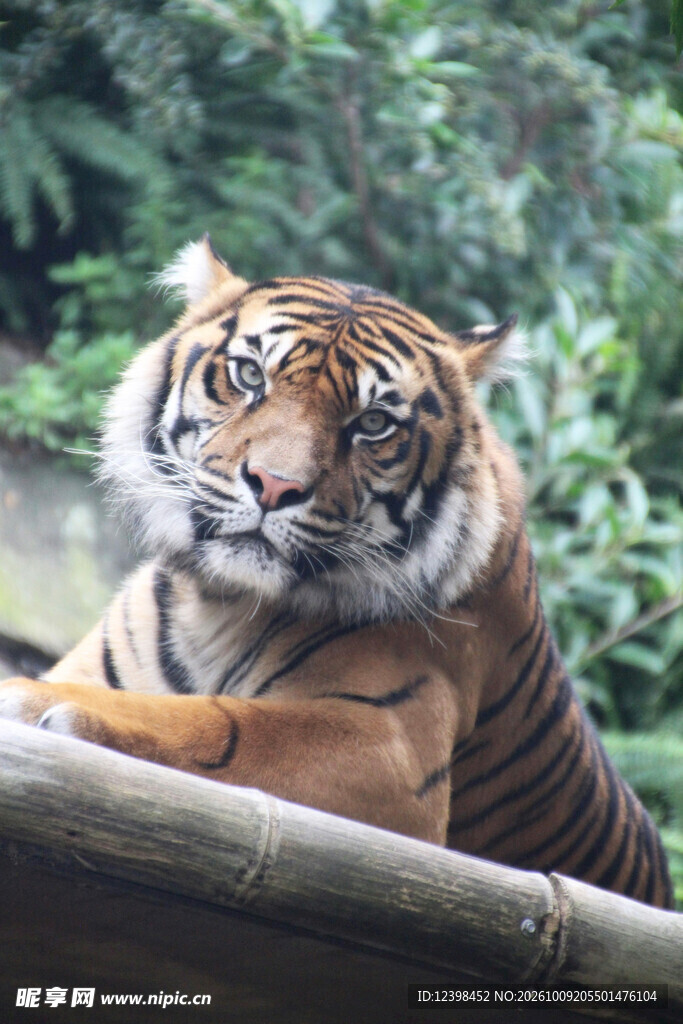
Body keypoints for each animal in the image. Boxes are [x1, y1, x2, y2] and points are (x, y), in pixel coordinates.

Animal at [0, 235, 673, 909]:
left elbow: (221, 722)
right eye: (250, 376)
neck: (220, 604)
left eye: (373, 423)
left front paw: (32, 700)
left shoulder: (389, 749)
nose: (274, 486)